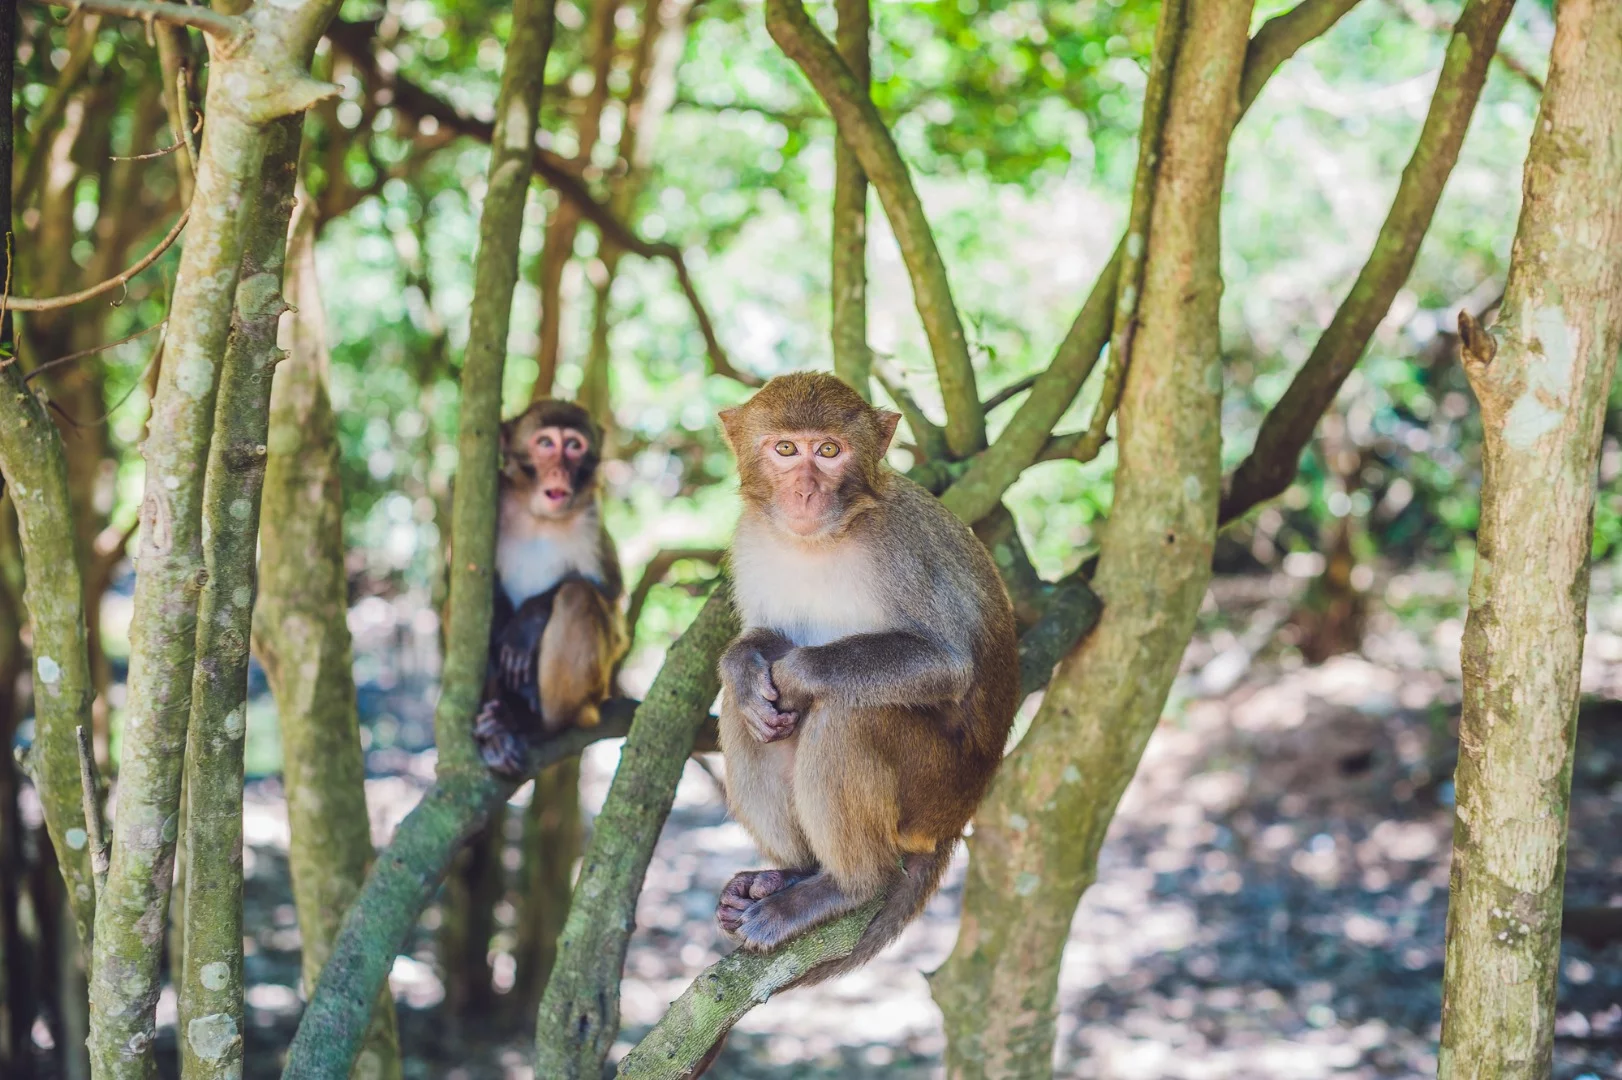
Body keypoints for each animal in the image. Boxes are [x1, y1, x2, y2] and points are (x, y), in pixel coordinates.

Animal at [472, 399, 628, 777]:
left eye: (573, 446)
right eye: (545, 444)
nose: (559, 472)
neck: (538, 516)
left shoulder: (590, 520)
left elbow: (612, 604)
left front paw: (527, 622)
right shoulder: (497, 500)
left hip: (593, 695)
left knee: (576, 596)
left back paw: (535, 725)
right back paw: (497, 736)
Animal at [712, 371, 1019, 980]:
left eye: (830, 451)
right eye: (787, 449)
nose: (805, 492)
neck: (819, 540)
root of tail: (956, 819)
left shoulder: (899, 549)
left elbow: (945, 664)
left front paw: (795, 675)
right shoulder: (749, 540)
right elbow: (761, 645)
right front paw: (744, 664)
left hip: (934, 791)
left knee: (850, 716)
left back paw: (846, 886)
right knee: (743, 714)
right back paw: (790, 873)